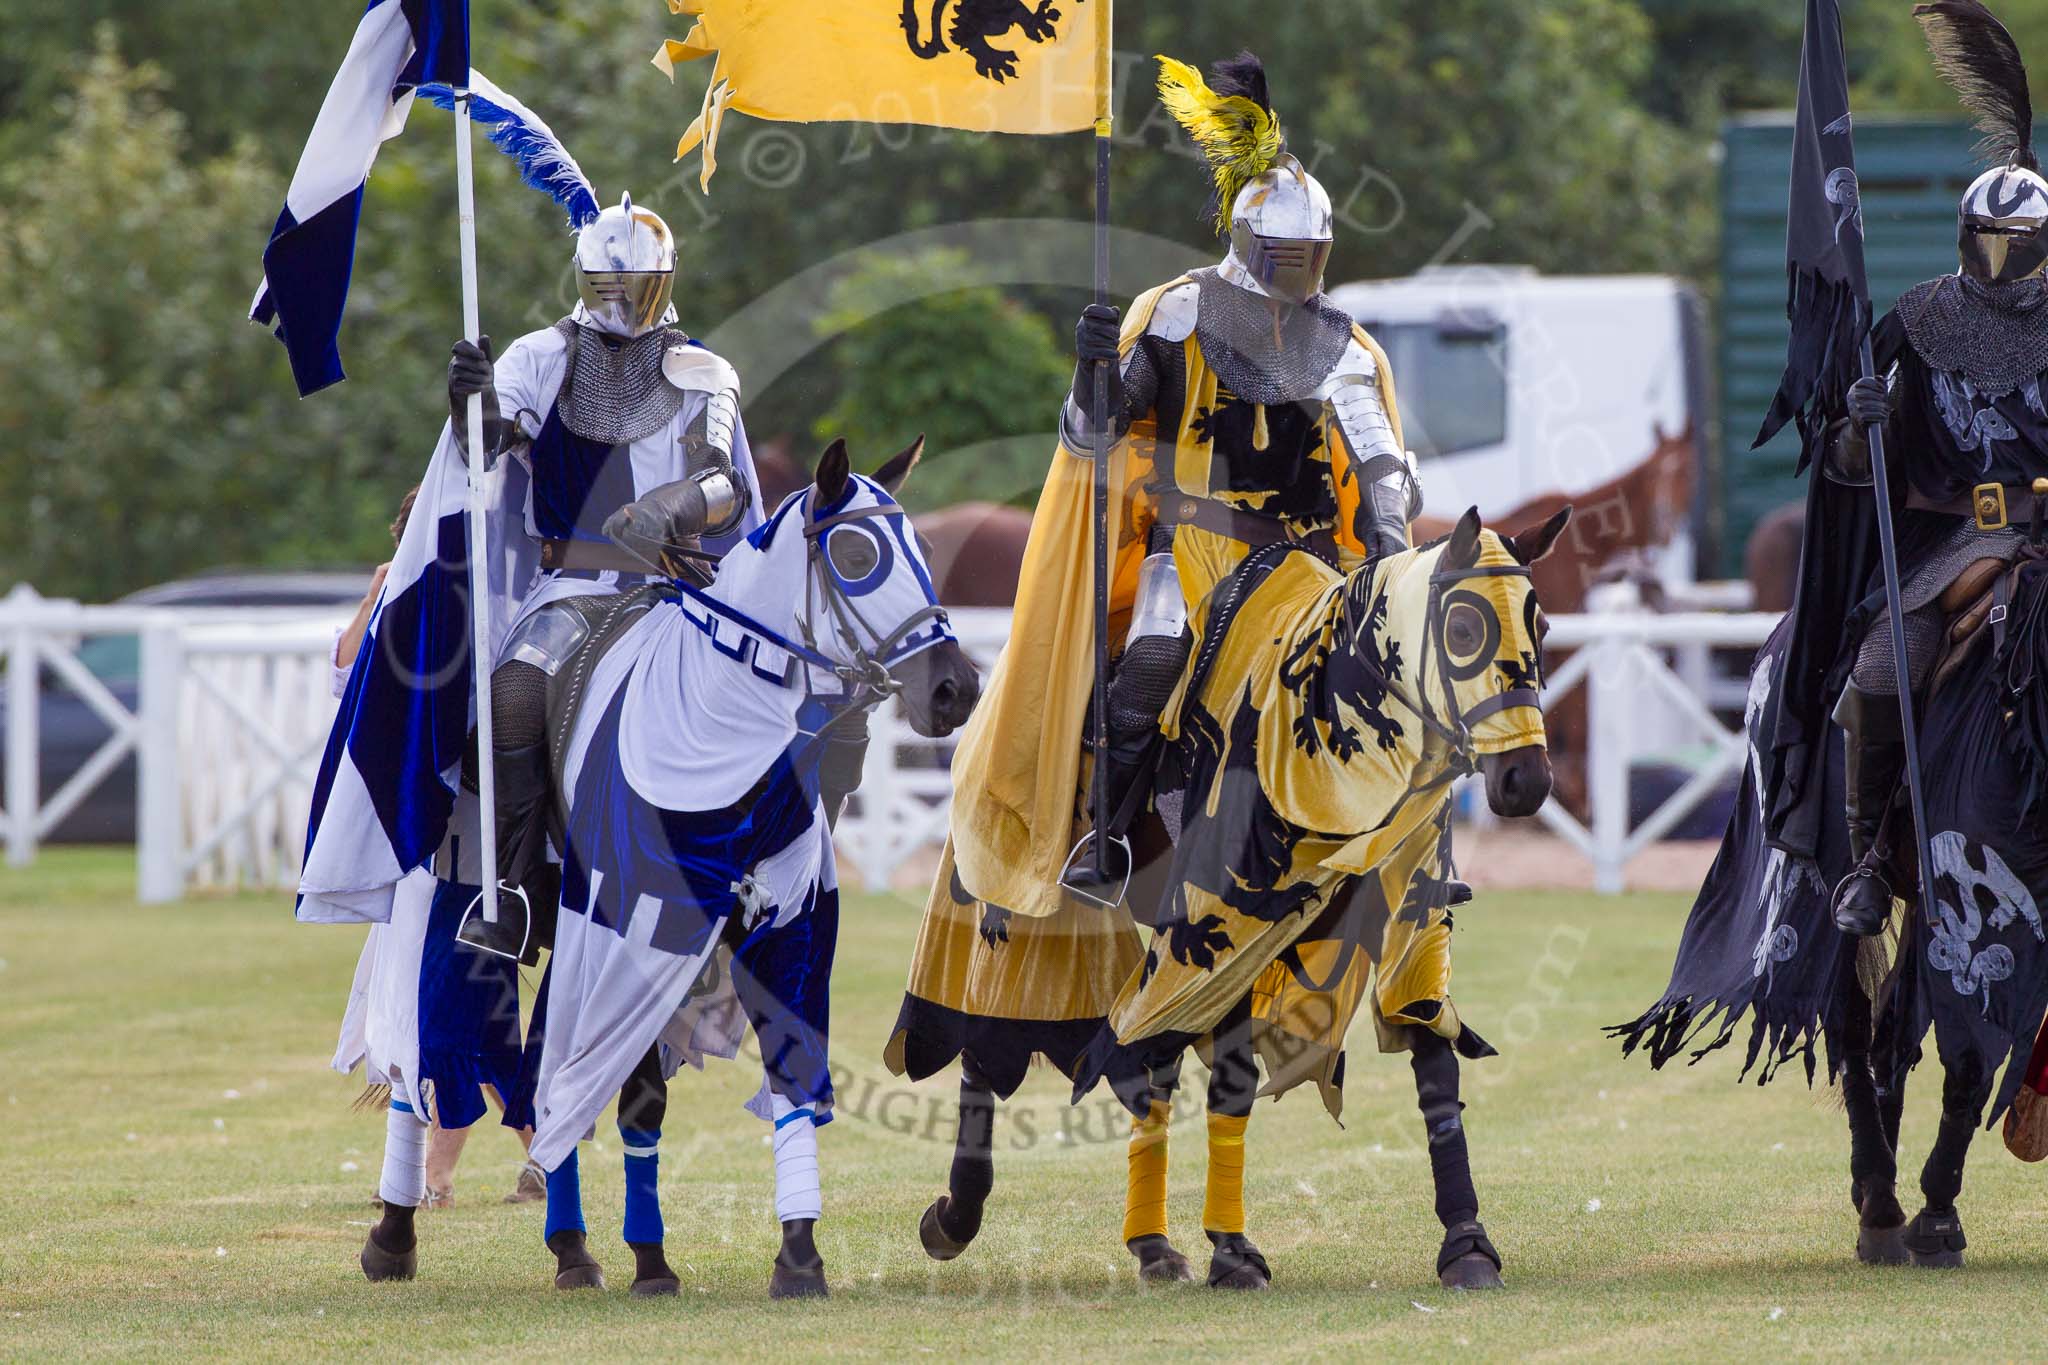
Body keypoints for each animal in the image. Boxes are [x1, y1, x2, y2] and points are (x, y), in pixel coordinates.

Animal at [516, 439, 970, 1301]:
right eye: (856, 555)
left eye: (928, 551)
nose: (955, 690)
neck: (714, 726)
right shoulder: (631, 924)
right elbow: (622, 1090)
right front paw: (639, 1257)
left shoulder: (785, 928)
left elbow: (790, 1077)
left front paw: (797, 1256)